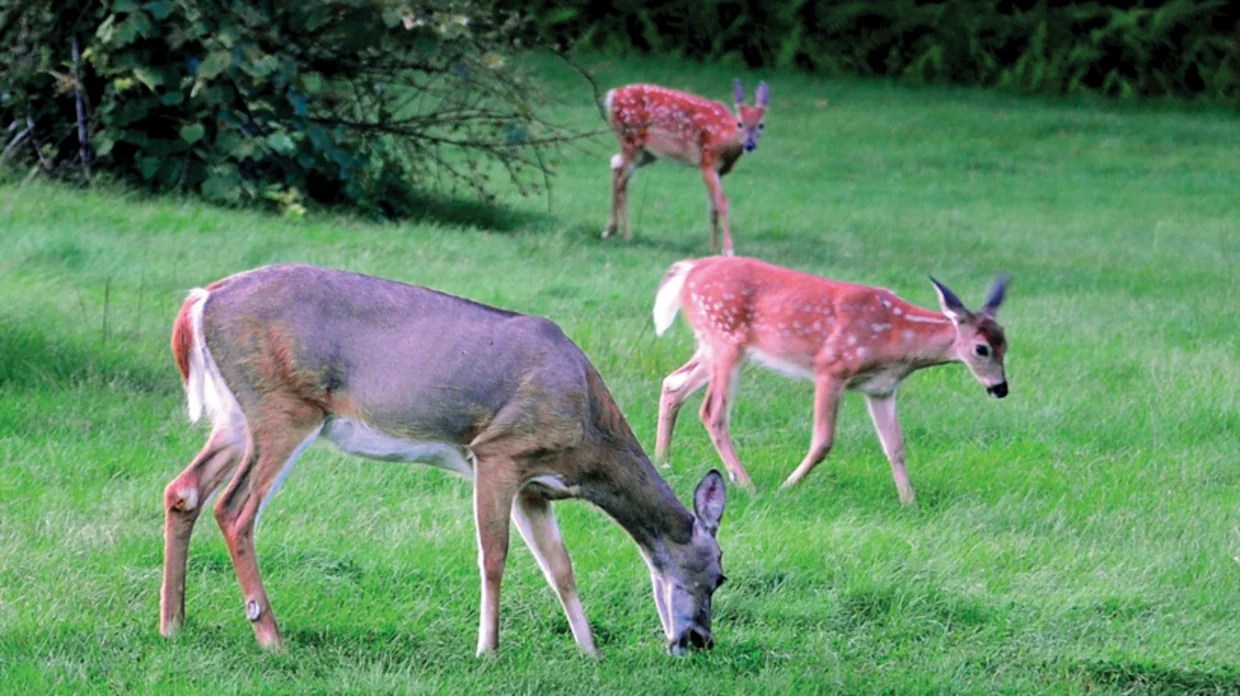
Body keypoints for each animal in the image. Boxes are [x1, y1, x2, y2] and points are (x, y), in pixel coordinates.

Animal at [161, 264, 727, 657]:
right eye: (721, 575)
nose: (699, 641)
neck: (588, 438)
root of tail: (202, 300)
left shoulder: (534, 487)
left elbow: (560, 567)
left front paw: (590, 652)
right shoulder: (499, 451)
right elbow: (494, 557)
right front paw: (488, 650)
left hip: (237, 418)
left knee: (183, 490)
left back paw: (173, 623)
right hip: (285, 406)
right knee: (235, 510)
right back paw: (271, 637)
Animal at [604, 79, 770, 256]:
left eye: (761, 125)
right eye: (740, 123)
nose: (750, 145)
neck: (722, 137)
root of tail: (613, 95)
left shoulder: (720, 171)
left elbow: (713, 208)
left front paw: (713, 249)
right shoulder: (707, 162)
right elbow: (722, 203)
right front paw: (728, 249)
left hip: (646, 153)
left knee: (616, 167)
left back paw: (611, 230)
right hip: (630, 139)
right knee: (621, 181)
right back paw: (625, 235)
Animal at [651, 256, 1009, 504]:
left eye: (1006, 344)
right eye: (981, 349)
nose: (1001, 389)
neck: (896, 341)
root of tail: (689, 269)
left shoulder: (881, 389)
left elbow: (896, 446)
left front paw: (910, 501)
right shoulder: (831, 369)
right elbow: (823, 441)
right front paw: (787, 487)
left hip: (712, 345)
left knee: (673, 383)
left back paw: (663, 461)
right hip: (726, 339)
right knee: (713, 411)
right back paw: (747, 484)